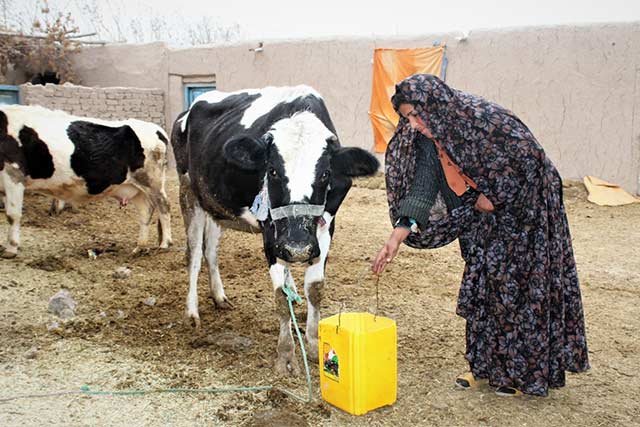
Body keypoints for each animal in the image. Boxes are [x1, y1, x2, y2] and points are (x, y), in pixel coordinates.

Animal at [0, 104, 172, 258]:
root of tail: (157, 129)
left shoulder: (13, 173)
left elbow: (12, 215)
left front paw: (11, 249)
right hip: (135, 187)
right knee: (145, 211)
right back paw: (139, 248)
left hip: (152, 181)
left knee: (164, 206)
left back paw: (165, 244)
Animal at [172, 84, 378, 374]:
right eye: (272, 171)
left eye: (325, 174)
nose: (297, 247)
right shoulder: (271, 232)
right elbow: (280, 296)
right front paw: (286, 356)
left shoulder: (327, 224)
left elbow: (315, 289)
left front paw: (312, 344)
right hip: (188, 193)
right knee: (193, 255)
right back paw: (192, 312)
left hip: (215, 205)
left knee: (210, 251)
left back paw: (220, 297)